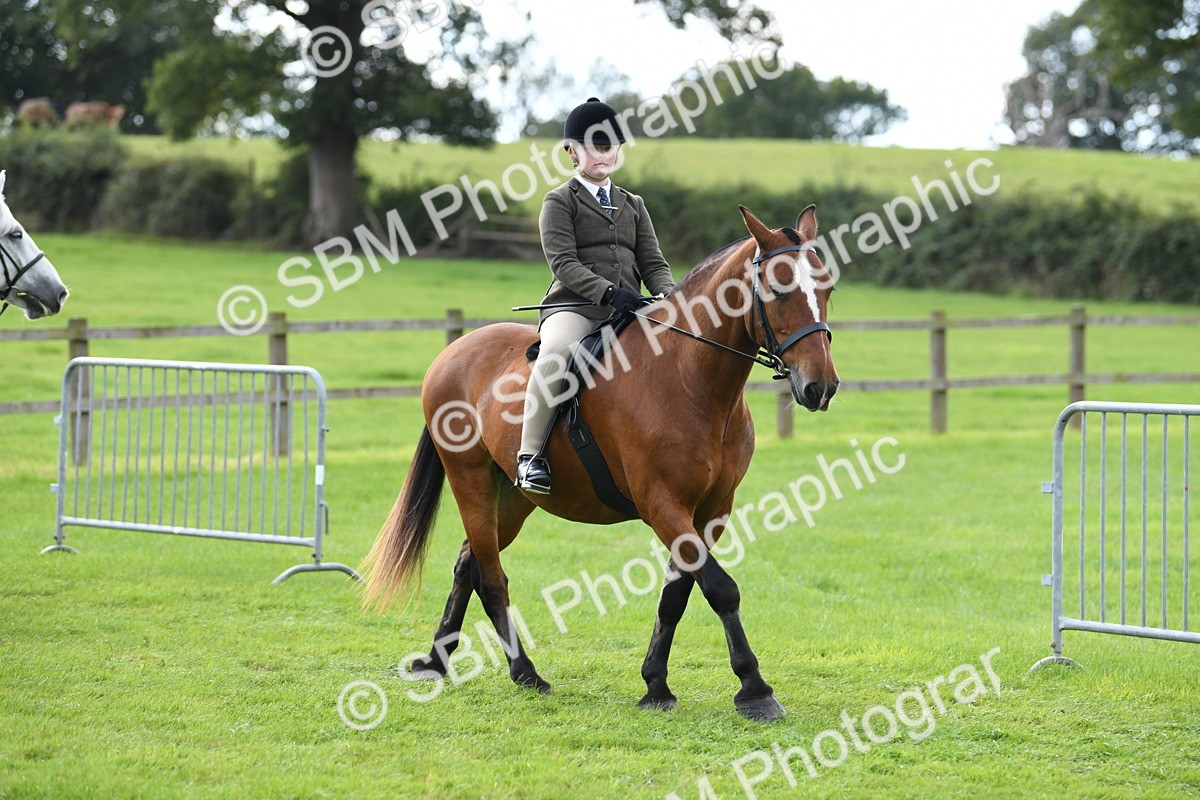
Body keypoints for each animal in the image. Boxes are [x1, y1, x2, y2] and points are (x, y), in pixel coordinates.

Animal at [361, 205, 838, 721]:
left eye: (827, 289)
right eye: (778, 290)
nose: (821, 387)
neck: (689, 379)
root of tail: (452, 352)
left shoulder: (713, 509)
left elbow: (677, 595)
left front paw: (656, 685)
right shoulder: (662, 504)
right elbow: (719, 588)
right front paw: (755, 689)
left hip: (513, 497)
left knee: (469, 561)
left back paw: (437, 659)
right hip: (470, 480)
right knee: (490, 578)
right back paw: (526, 673)